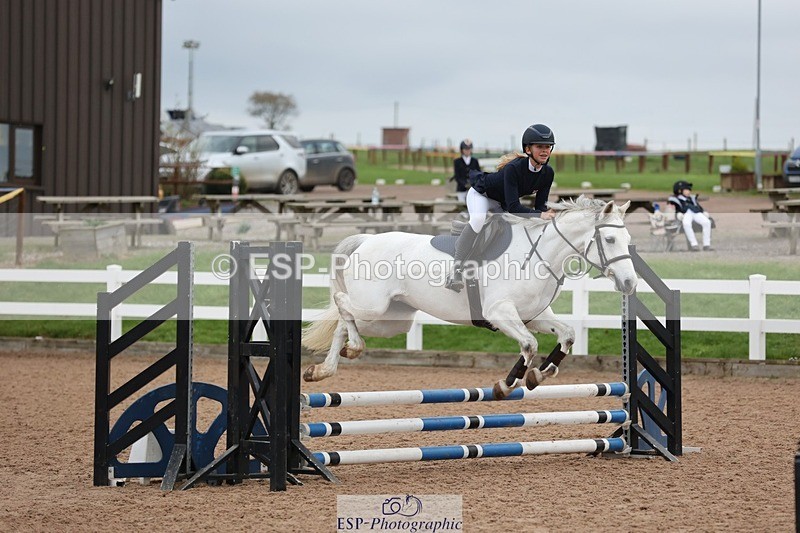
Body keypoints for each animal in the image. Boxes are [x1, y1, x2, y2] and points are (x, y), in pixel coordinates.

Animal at [302, 196, 637, 399]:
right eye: (609, 239)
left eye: (628, 239)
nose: (630, 283)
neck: (541, 255)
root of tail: (366, 240)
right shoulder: (500, 313)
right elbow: (529, 344)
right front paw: (507, 383)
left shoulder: (534, 315)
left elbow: (566, 335)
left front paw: (539, 375)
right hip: (374, 306)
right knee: (342, 303)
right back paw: (353, 349)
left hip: (391, 320)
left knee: (344, 323)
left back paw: (324, 368)